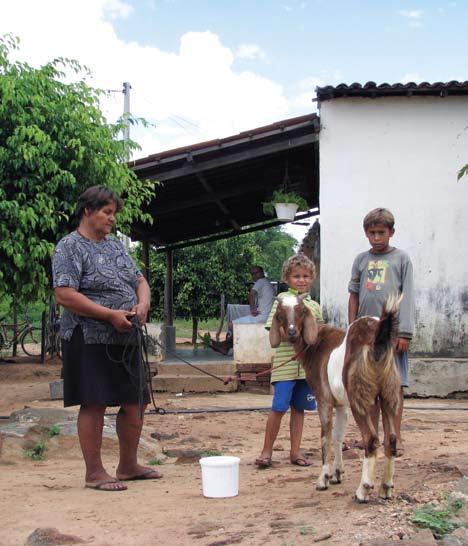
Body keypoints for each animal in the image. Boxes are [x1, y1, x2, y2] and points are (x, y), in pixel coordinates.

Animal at [270, 292, 402, 500]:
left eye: (301, 311)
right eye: (281, 314)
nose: (291, 332)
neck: (316, 344)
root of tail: (377, 339)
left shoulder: (323, 398)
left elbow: (326, 434)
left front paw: (324, 478)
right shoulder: (341, 403)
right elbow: (339, 434)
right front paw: (337, 473)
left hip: (359, 397)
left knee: (371, 438)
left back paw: (363, 490)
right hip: (388, 392)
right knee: (391, 438)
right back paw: (386, 488)